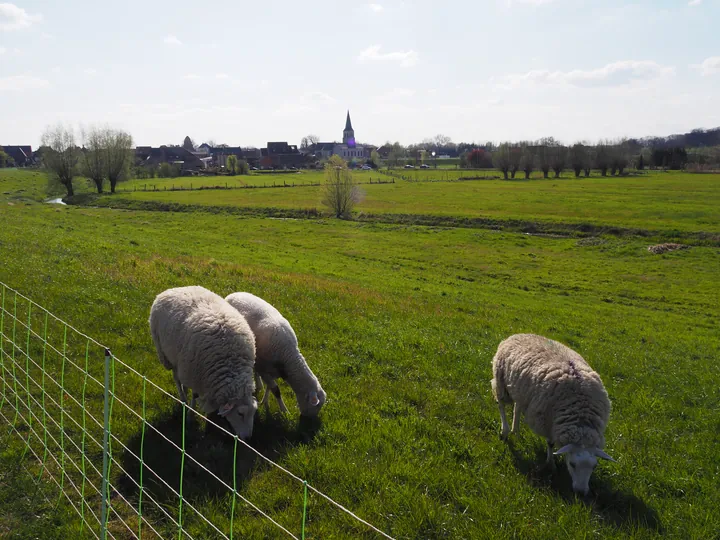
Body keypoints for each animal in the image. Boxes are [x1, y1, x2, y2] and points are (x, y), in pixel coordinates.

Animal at [148, 286, 258, 438]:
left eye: (254, 412)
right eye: (240, 413)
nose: (247, 438)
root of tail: (172, 289)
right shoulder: (196, 376)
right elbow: (194, 396)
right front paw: (190, 417)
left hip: (181, 361)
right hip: (167, 355)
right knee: (176, 378)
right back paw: (183, 399)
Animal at [492, 336, 616, 496]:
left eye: (594, 466)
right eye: (572, 464)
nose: (581, 492)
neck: (581, 418)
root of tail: (517, 335)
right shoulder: (547, 421)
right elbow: (550, 444)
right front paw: (551, 464)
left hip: (520, 391)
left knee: (517, 407)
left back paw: (516, 431)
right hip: (501, 382)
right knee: (501, 405)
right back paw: (505, 431)